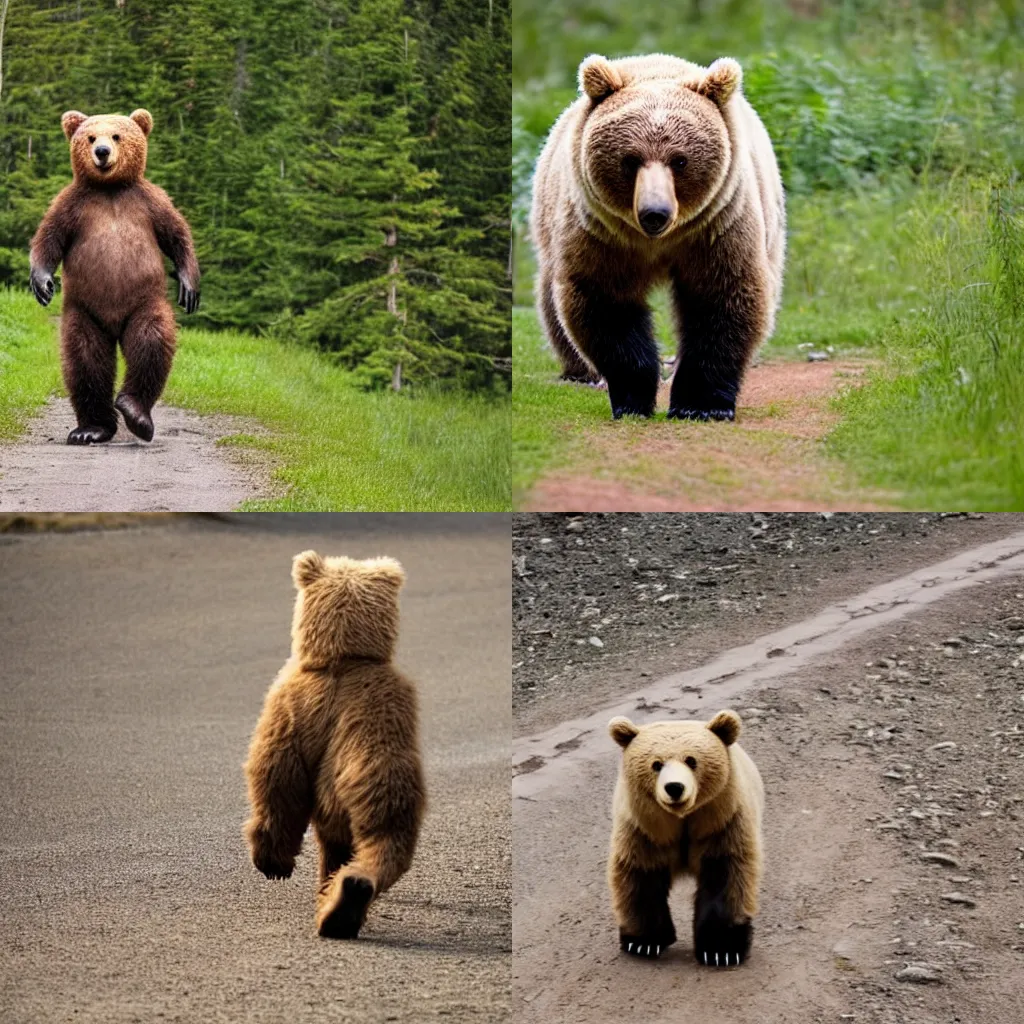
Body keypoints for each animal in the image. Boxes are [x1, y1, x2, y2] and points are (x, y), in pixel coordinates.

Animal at [29, 109, 201, 444]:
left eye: (117, 135)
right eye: (90, 136)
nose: (102, 151)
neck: (109, 189)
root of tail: (114, 322)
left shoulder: (149, 201)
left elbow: (176, 233)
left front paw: (190, 288)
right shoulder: (74, 204)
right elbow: (49, 237)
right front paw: (42, 283)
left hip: (144, 301)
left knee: (151, 338)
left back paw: (135, 411)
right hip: (85, 311)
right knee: (85, 357)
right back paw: (92, 429)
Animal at [243, 552, 423, 937]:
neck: (342, 661)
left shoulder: (287, 704)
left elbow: (276, 773)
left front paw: (273, 862)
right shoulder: (291, 702)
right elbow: (275, 771)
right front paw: (274, 863)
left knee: (375, 833)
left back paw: (342, 899)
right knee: (383, 832)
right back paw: (344, 899)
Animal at [532, 50, 786, 419]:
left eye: (680, 160)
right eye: (630, 159)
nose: (655, 213)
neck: (659, 241)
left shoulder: (717, 226)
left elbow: (723, 296)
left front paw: (701, 405)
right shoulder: (602, 234)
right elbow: (606, 304)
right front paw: (634, 396)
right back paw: (580, 371)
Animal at [602, 712, 765, 966]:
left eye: (691, 760)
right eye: (656, 764)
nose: (675, 787)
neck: (682, 820)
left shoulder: (723, 824)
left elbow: (725, 875)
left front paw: (721, 950)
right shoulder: (643, 832)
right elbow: (640, 876)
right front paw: (643, 942)